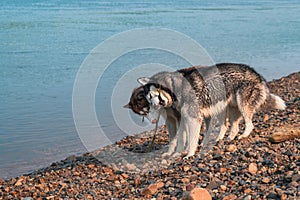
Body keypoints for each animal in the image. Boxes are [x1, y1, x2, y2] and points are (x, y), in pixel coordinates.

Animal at [125, 63, 286, 159]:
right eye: (148, 99)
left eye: (153, 96)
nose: (153, 108)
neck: (175, 88)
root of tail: (256, 74)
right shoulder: (182, 119)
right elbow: (181, 139)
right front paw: (177, 153)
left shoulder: (193, 119)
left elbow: (191, 140)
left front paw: (189, 154)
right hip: (231, 108)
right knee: (232, 126)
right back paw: (227, 138)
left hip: (241, 106)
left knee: (249, 124)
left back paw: (243, 135)